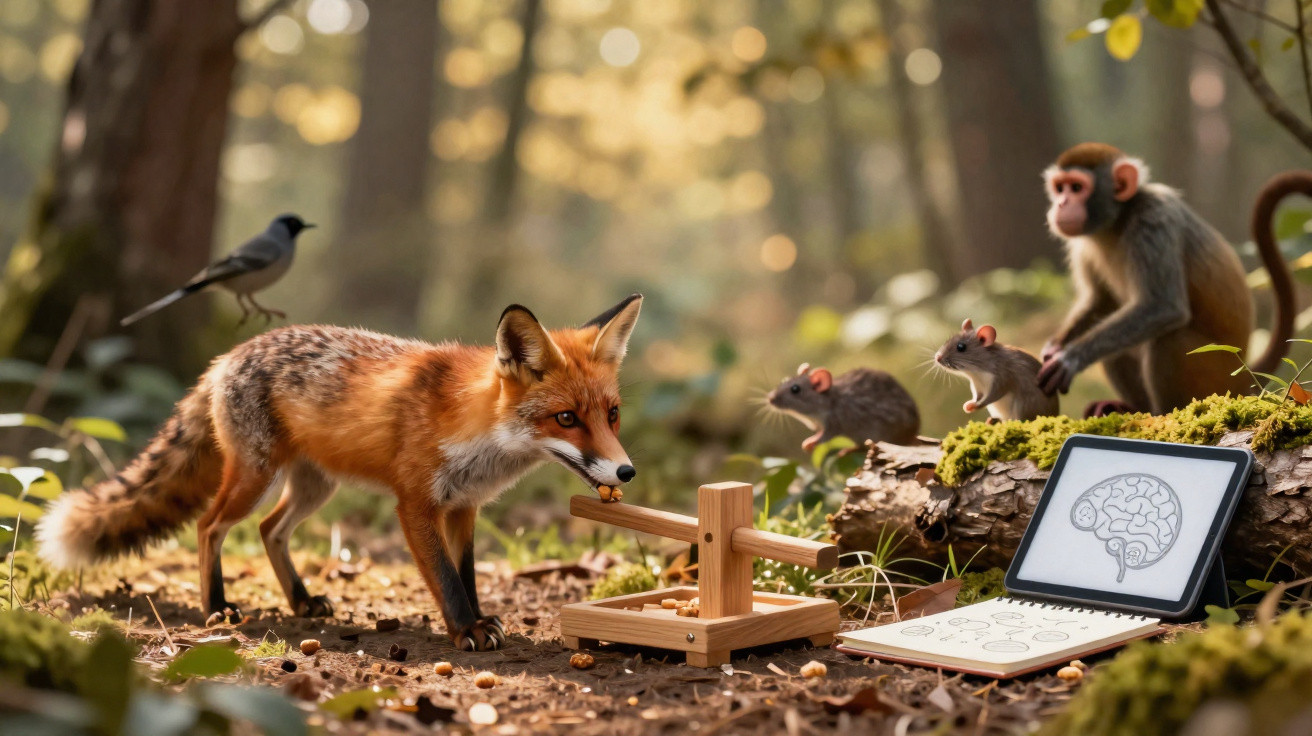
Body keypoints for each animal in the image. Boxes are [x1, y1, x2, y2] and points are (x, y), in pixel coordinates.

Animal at [36, 295, 643, 651]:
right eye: (566, 419)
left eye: (612, 414)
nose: (626, 470)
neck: (475, 429)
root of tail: (225, 358)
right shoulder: (415, 504)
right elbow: (445, 578)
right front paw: (464, 628)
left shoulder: (463, 506)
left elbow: (467, 573)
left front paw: (479, 618)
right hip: (255, 478)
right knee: (210, 527)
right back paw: (218, 607)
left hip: (314, 487)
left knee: (269, 530)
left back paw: (302, 601)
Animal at [1036, 142, 1309, 415]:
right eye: (1060, 188)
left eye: (1077, 188)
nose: (1060, 204)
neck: (1117, 221)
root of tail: (1244, 374)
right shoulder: (1083, 245)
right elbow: (1101, 302)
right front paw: (1054, 348)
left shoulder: (1152, 220)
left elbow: (1164, 306)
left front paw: (1070, 358)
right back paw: (1132, 408)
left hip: (1215, 374)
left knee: (1169, 337)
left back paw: (1163, 412)